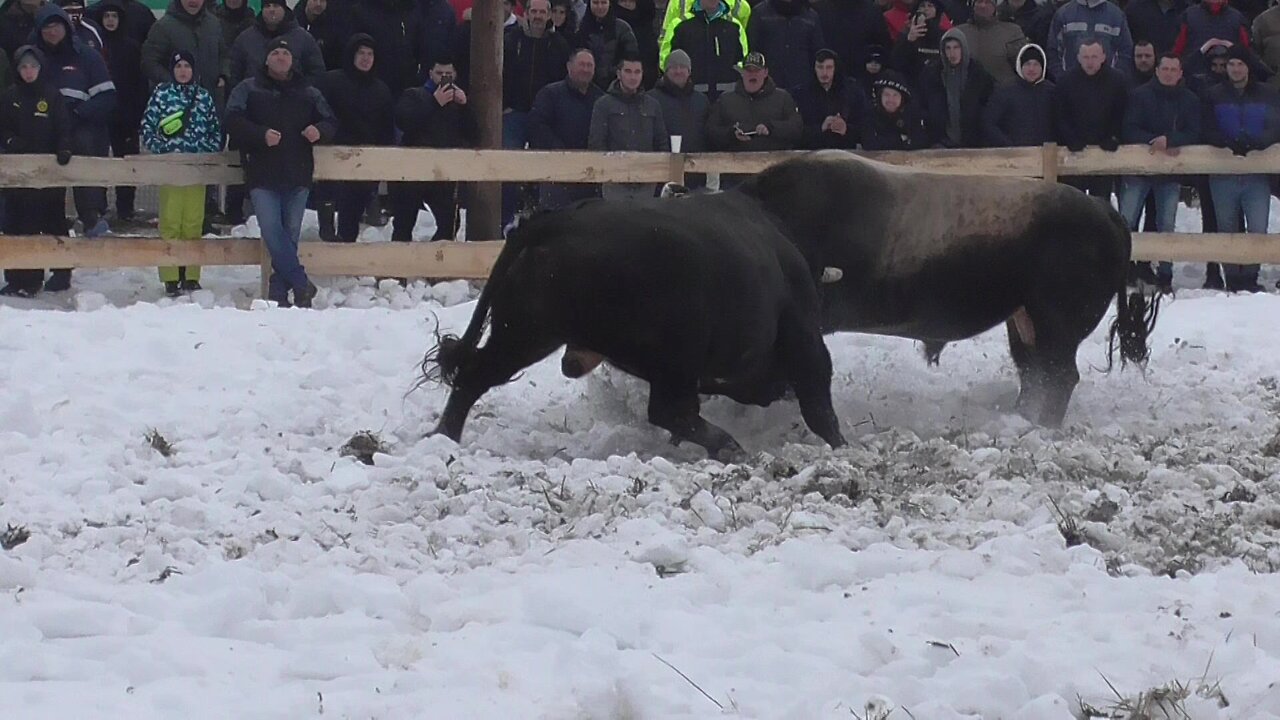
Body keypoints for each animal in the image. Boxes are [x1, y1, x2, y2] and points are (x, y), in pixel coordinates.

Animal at [422, 189, 849, 458]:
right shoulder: (803, 339)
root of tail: (552, 222)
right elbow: (819, 406)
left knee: (472, 375)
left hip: (522, 331)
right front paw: (843, 447)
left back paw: (443, 437)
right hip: (542, 337)